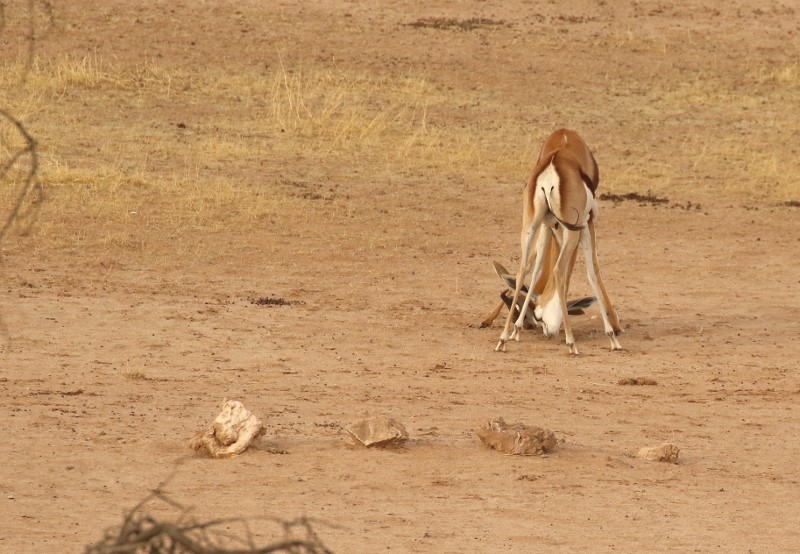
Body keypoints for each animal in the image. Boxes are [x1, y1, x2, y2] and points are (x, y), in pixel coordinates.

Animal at [495, 128, 622, 355]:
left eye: (537, 317)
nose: (548, 332)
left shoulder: (549, 226)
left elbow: (536, 268)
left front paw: (516, 330)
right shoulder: (587, 223)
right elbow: (593, 270)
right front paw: (612, 333)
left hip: (530, 226)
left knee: (522, 269)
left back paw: (502, 340)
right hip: (573, 228)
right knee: (558, 269)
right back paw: (571, 342)